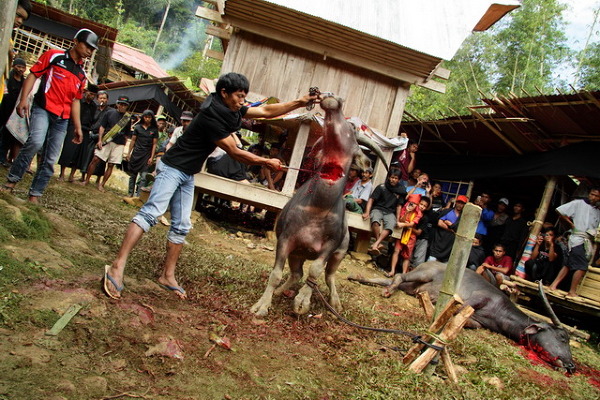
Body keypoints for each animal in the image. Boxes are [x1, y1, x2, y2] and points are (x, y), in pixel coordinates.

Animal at [350, 260, 576, 372]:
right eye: (562, 337)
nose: (571, 365)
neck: (500, 311)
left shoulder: (477, 320)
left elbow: (472, 324)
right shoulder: (475, 299)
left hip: (412, 284)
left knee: (388, 280)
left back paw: (357, 277)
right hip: (422, 274)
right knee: (398, 275)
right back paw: (388, 291)